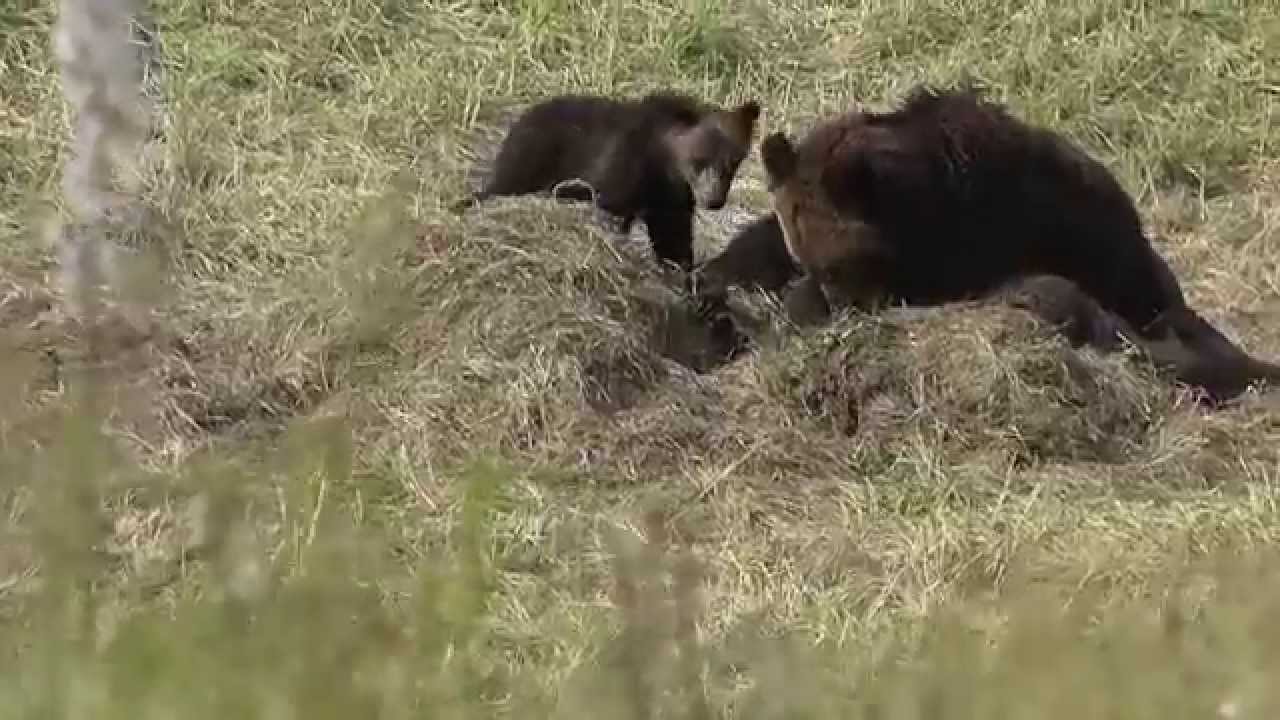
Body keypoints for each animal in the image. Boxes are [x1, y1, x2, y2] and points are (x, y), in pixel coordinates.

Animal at [456, 90, 762, 272]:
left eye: (733, 161)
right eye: (699, 159)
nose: (714, 200)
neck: (663, 164)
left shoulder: (671, 198)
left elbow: (673, 235)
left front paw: (681, 266)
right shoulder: (624, 169)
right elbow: (614, 210)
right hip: (534, 154)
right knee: (503, 185)